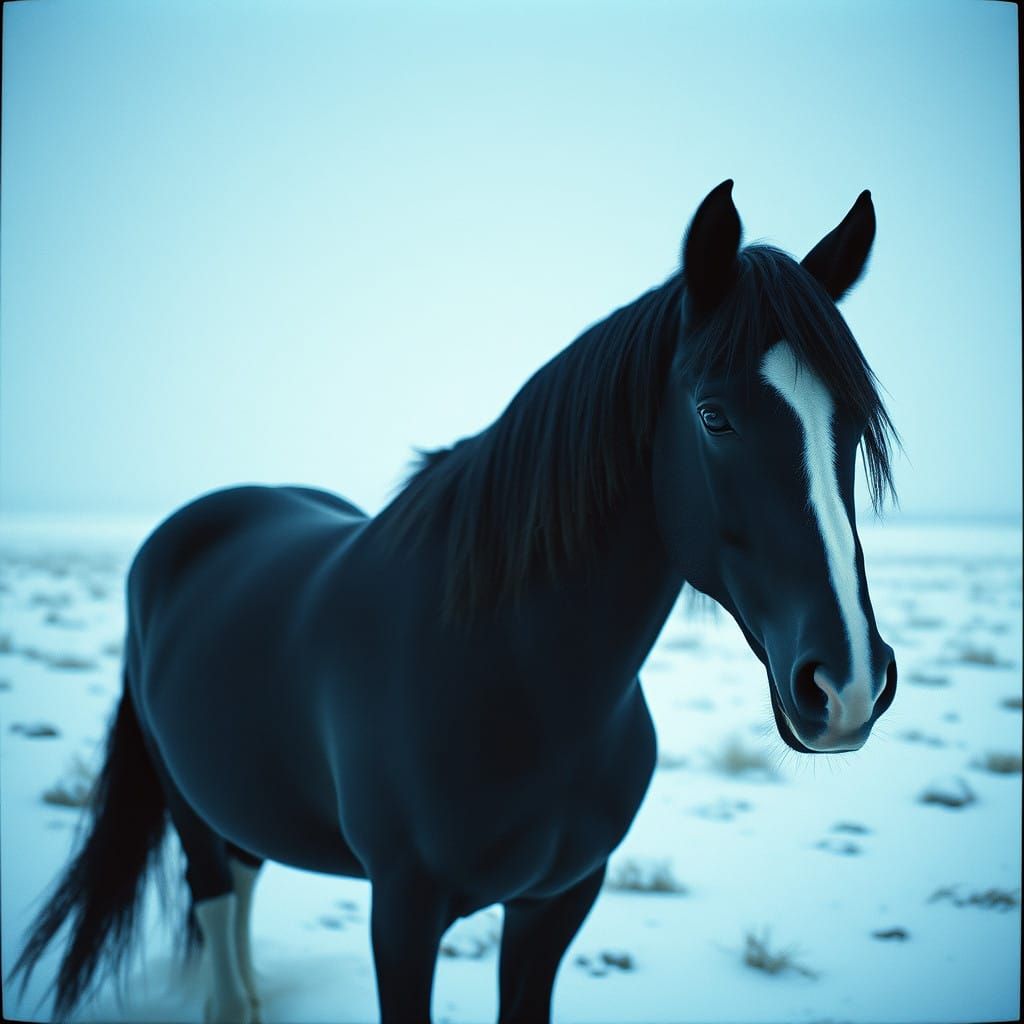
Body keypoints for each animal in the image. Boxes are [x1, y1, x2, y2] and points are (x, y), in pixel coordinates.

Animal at [10, 180, 899, 1024]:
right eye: (714, 416)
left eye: (855, 424)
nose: (848, 683)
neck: (510, 677)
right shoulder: (403, 913)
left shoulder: (556, 902)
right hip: (183, 798)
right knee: (216, 891)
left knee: (245, 867)